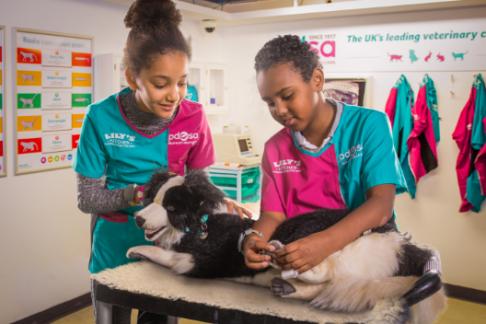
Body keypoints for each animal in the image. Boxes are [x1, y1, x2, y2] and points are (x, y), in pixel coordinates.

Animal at [127, 171, 446, 322]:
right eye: (152, 199)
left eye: (170, 208)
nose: (138, 219)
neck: (201, 222)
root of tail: (399, 244)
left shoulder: (195, 263)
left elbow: (163, 254)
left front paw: (136, 250)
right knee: (328, 284)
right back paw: (287, 285)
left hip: (318, 233)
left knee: (325, 271)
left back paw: (283, 262)